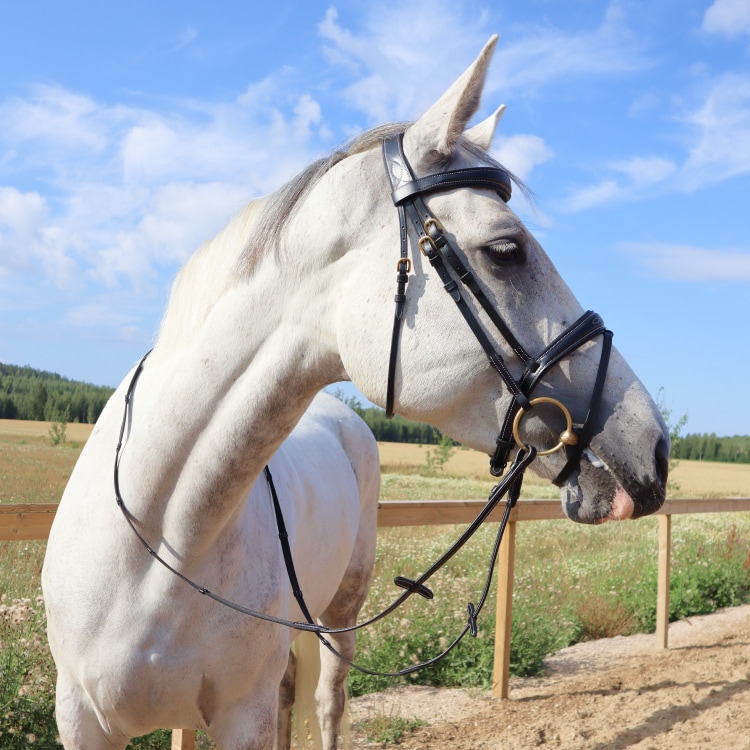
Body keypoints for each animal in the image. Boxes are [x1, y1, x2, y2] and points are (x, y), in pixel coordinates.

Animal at [41, 35, 668, 750]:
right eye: (507, 250)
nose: (654, 449)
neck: (160, 541)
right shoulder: (82, 719)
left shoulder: (241, 715)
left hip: (340, 613)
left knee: (325, 700)